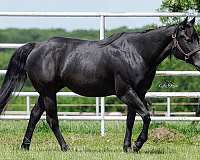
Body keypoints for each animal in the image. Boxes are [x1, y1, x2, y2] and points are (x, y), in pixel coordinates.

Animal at [0, 16, 200, 152]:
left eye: (196, 37)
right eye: (187, 38)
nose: (199, 62)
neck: (137, 53)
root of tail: (36, 47)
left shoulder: (138, 93)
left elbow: (131, 120)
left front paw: (127, 147)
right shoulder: (125, 92)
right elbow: (146, 116)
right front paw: (137, 145)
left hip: (46, 92)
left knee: (34, 115)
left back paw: (25, 146)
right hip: (49, 93)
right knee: (51, 119)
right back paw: (65, 147)